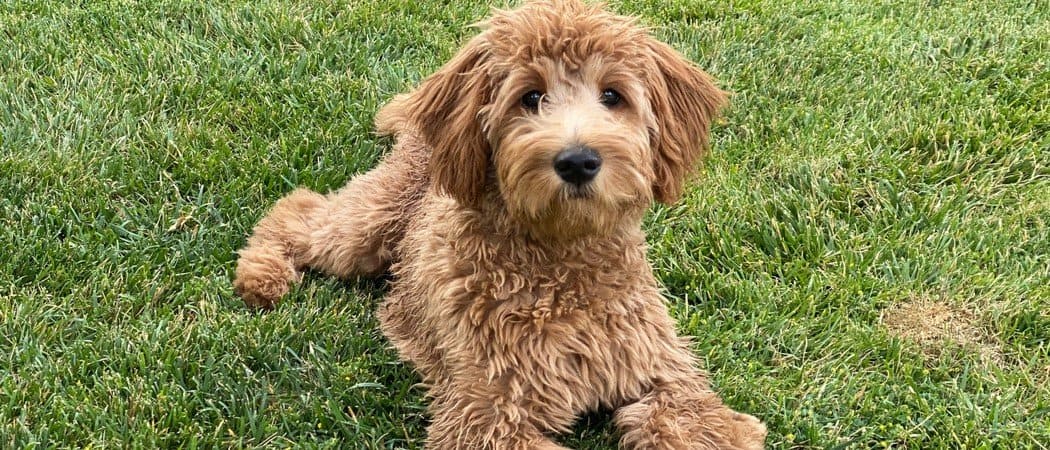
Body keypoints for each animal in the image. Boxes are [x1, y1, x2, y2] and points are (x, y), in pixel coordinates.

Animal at [236, 1, 764, 446]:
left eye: (613, 96)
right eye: (530, 97)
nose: (577, 161)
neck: (561, 262)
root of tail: (425, 124)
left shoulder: (666, 373)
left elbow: (697, 418)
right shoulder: (486, 414)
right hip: (369, 225)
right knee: (300, 211)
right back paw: (260, 276)